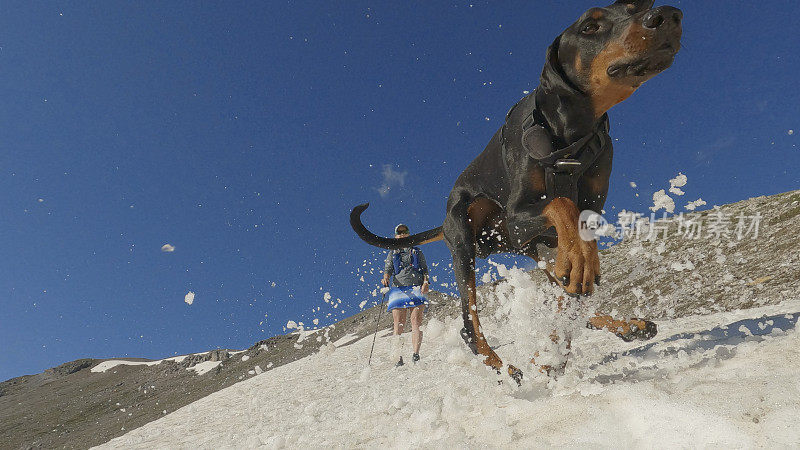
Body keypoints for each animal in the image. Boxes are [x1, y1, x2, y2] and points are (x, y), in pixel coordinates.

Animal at [350, 0, 680, 382]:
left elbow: (578, 235)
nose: (668, 16)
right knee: (471, 324)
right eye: (589, 28)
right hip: (467, 241)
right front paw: (581, 262)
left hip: (535, 247)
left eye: (634, 7)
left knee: (567, 297)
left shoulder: (586, 209)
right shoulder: (519, 216)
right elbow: (562, 204)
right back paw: (506, 367)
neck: (569, 137)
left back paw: (607, 333)